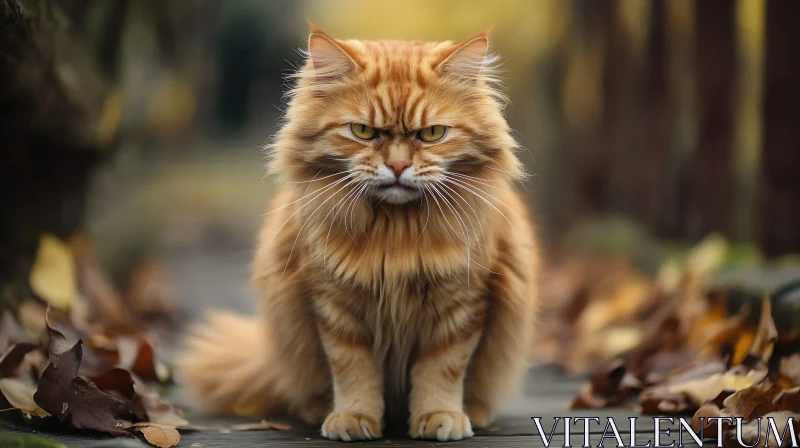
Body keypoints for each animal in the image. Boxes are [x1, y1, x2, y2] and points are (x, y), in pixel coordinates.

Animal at [178, 25, 540, 440]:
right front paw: (353, 417)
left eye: (432, 134)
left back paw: (474, 413)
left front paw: (439, 415)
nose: (397, 166)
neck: (395, 233)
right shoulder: (333, 306)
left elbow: (441, 371)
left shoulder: (462, 305)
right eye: (363, 131)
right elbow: (353, 372)